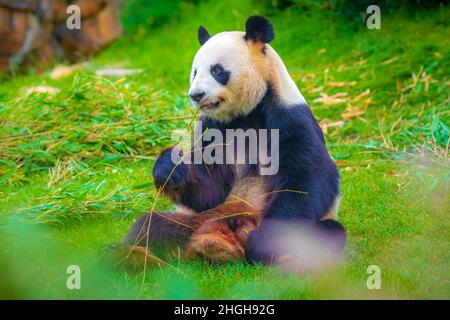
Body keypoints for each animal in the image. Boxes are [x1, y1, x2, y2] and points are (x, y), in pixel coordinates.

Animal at [119, 16, 344, 268]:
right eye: (194, 72)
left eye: (217, 70)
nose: (195, 95)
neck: (246, 112)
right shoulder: (213, 129)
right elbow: (211, 188)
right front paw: (170, 167)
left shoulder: (289, 117)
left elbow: (304, 179)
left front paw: (266, 241)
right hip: (197, 220)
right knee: (150, 227)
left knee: (327, 232)